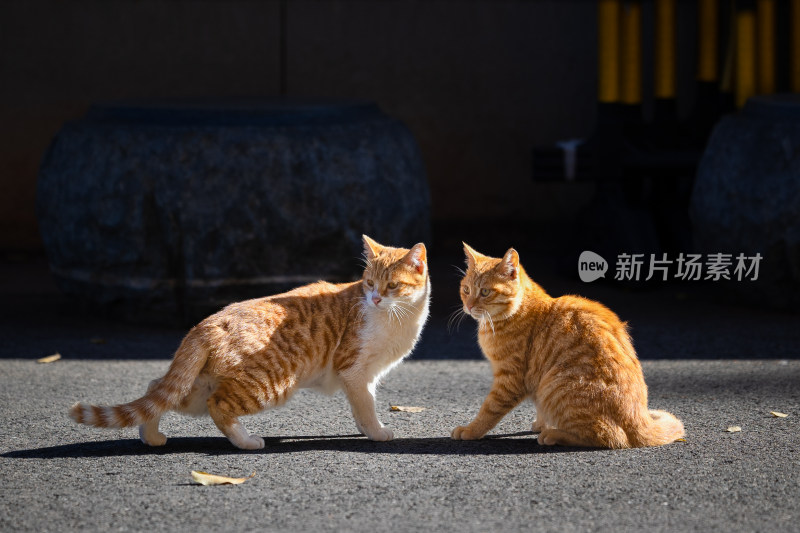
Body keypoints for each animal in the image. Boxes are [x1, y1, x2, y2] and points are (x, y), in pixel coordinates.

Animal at [69, 235, 432, 446]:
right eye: (369, 283)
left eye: (392, 286)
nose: (375, 299)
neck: (398, 318)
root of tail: (208, 323)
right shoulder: (353, 369)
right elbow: (366, 405)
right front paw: (377, 432)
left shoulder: (363, 377)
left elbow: (361, 405)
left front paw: (364, 427)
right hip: (269, 383)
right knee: (219, 406)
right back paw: (246, 441)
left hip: (197, 385)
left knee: (157, 389)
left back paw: (152, 436)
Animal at [454, 243, 684, 446]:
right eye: (466, 290)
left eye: (485, 292)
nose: (468, 306)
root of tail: (640, 420)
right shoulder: (533, 382)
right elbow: (538, 408)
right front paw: (541, 423)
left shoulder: (510, 379)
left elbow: (489, 410)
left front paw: (471, 430)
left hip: (555, 385)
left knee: (609, 436)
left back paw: (555, 435)